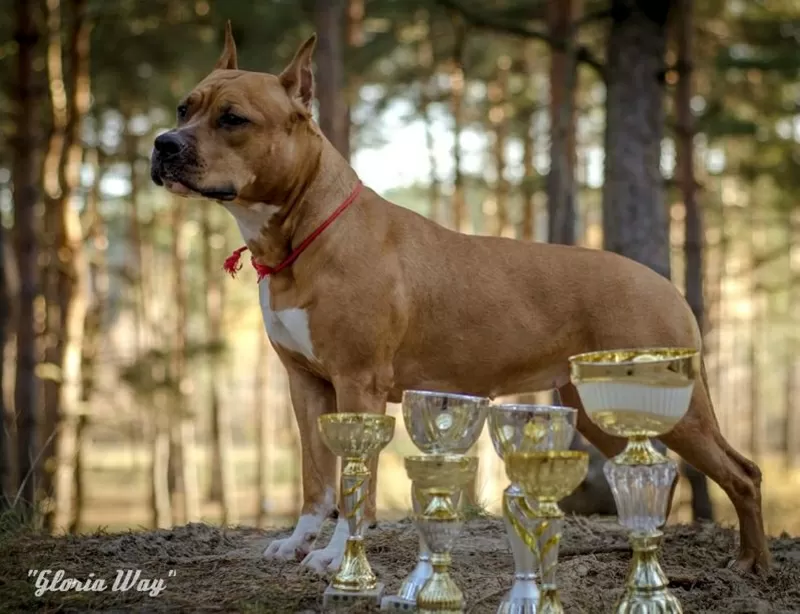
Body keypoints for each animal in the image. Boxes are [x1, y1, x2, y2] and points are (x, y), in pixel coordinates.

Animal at [150, 22, 768, 572]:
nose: (162, 144)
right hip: (600, 405)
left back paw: (749, 564)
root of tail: (664, 283)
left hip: (672, 405)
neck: (304, 231)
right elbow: (316, 476)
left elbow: (355, 480)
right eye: (183, 109)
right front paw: (299, 542)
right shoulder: (305, 384)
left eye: (233, 119)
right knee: (656, 467)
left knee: (742, 473)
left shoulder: (357, 382)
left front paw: (337, 557)